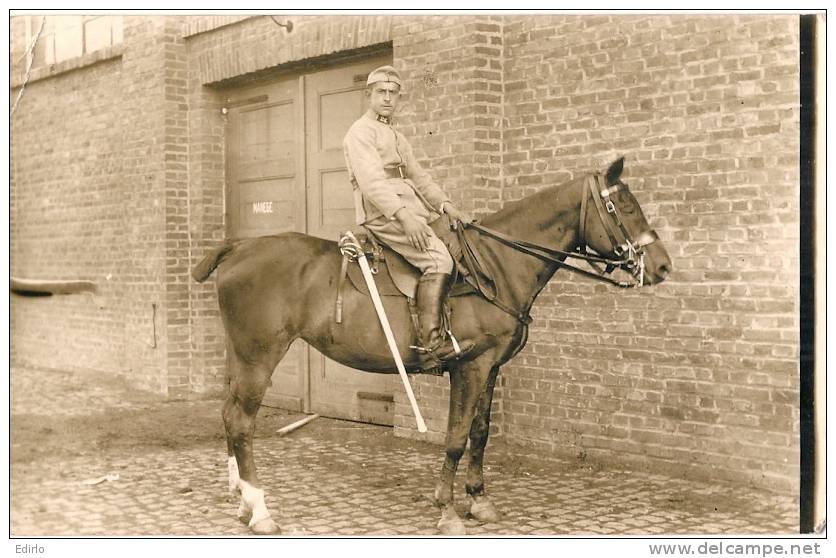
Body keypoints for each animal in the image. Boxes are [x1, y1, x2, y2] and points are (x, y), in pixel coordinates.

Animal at [191, 159, 672, 540]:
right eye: (625, 207)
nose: (664, 266)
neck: (495, 267)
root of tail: (240, 246)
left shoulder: (491, 369)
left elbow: (480, 432)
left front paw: (478, 500)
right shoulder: (470, 367)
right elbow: (456, 438)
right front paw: (447, 510)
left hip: (240, 357)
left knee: (228, 414)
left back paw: (242, 501)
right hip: (259, 356)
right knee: (241, 421)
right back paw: (260, 511)